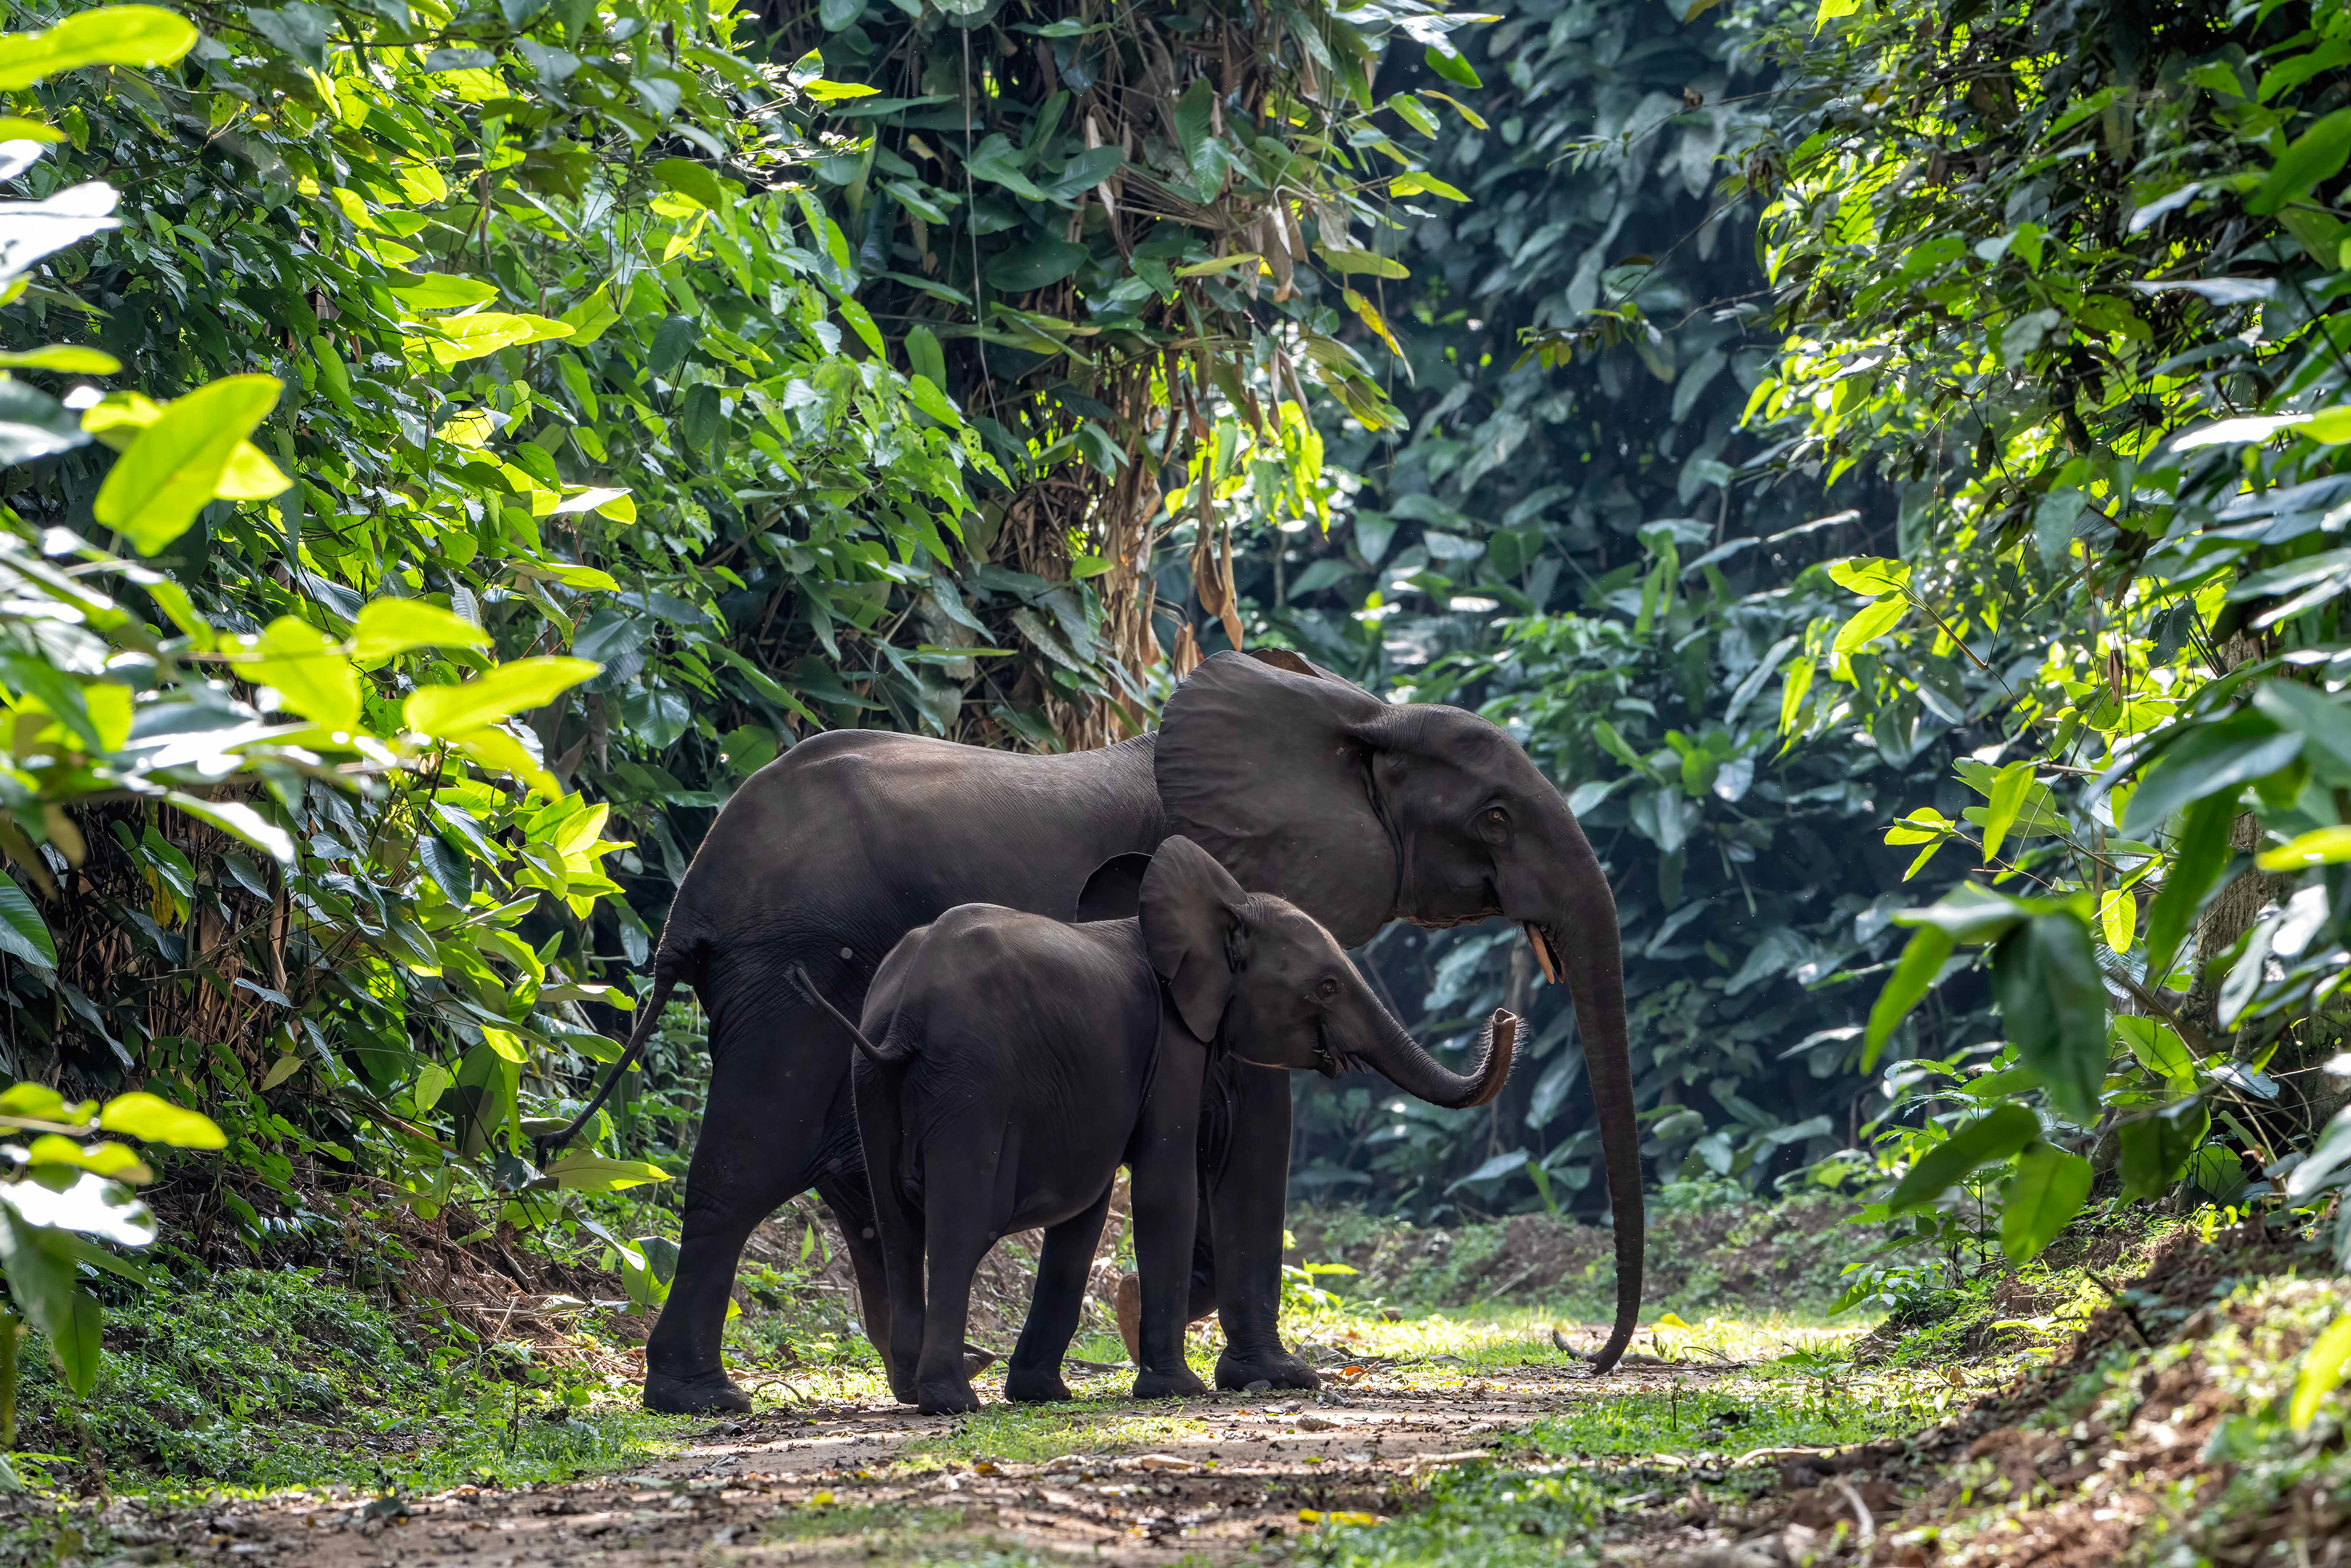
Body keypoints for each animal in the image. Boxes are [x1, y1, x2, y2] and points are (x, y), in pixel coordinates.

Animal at [813, 835, 1516, 1415]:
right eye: (1326, 987)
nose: (1505, 1016)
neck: (1221, 911)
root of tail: (905, 1014)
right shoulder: (1172, 1038)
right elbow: (1163, 1184)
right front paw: (1179, 1389)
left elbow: (1087, 1214)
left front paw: (1043, 1394)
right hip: (969, 1084)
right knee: (956, 1227)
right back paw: (951, 1399)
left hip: (870, 1079)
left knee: (896, 1227)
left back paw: (920, 1391)